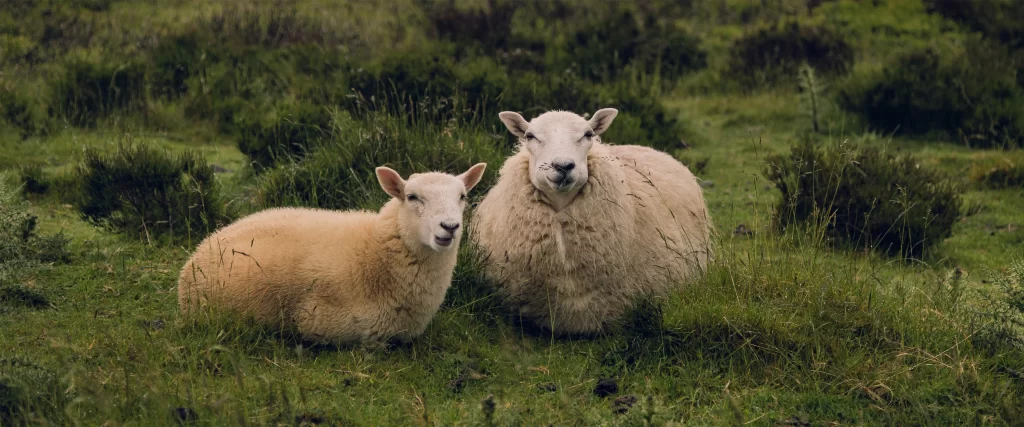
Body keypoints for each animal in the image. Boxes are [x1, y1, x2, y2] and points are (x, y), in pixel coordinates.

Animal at [178, 163, 488, 345]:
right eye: (412, 197)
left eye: (462, 196)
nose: (450, 227)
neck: (375, 252)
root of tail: (203, 246)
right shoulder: (329, 325)